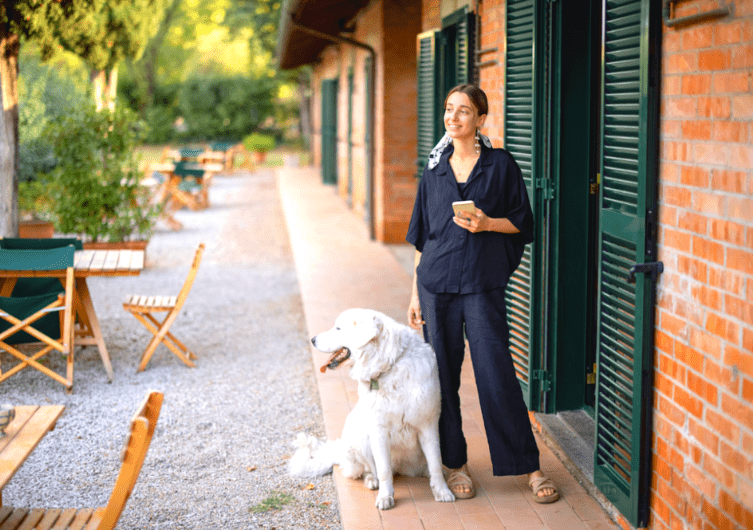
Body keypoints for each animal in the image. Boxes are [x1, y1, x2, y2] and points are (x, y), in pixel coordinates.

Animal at [288, 310, 452, 508]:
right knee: (368, 470)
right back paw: (371, 481)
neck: (389, 366)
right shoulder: (378, 429)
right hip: (360, 437)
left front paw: (442, 491)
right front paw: (386, 497)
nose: (312, 339)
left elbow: (436, 463)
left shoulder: (427, 425)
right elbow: (383, 470)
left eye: (338, 328)